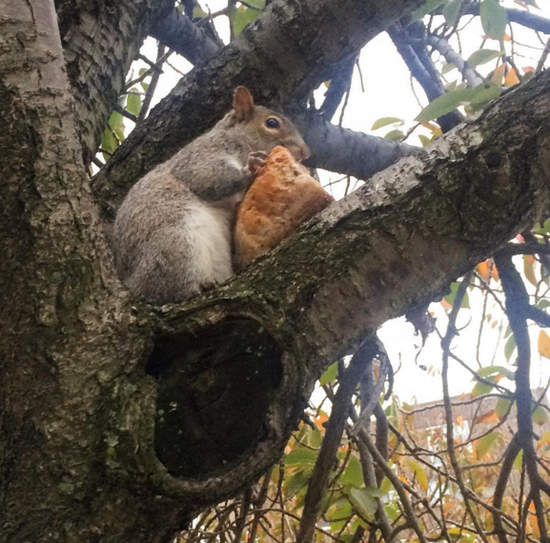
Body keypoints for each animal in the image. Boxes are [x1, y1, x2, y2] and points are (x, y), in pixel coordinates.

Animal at [112, 87, 310, 304]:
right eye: (272, 123)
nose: (305, 153)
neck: (239, 138)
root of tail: (132, 284)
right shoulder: (203, 154)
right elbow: (205, 176)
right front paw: (251, 168)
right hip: (175, 242)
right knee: (166, 289)